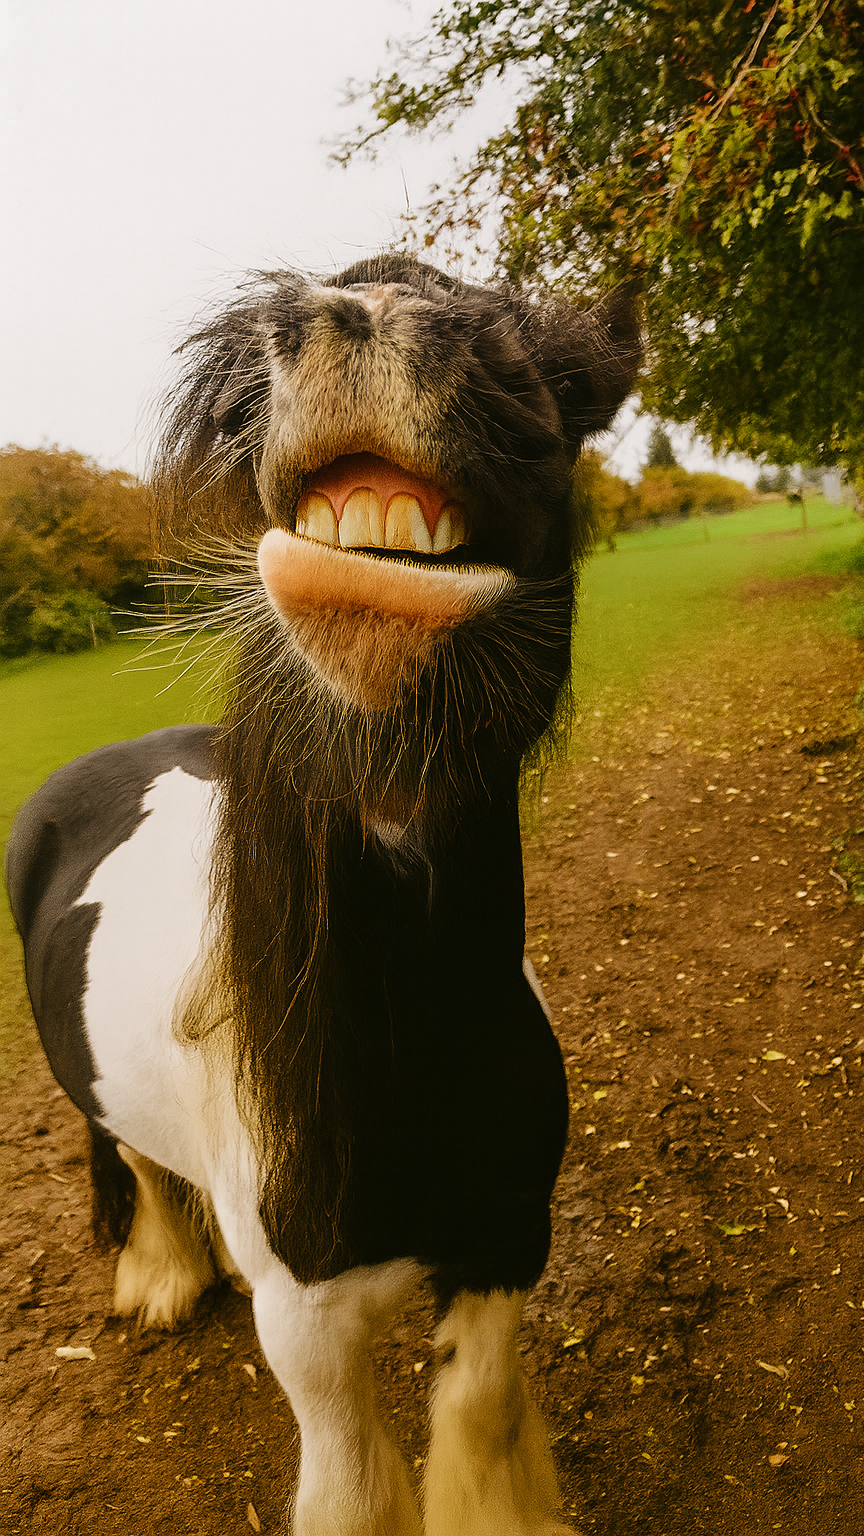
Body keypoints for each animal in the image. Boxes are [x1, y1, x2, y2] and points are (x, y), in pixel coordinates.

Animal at [6, 254, 640, 1535]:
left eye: (554, 381)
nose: (363, 316)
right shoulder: (303, 1320)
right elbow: (350, 1485)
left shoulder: (509, 1242)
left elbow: (480, 1416)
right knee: (125, 1151)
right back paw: (161, 1276)